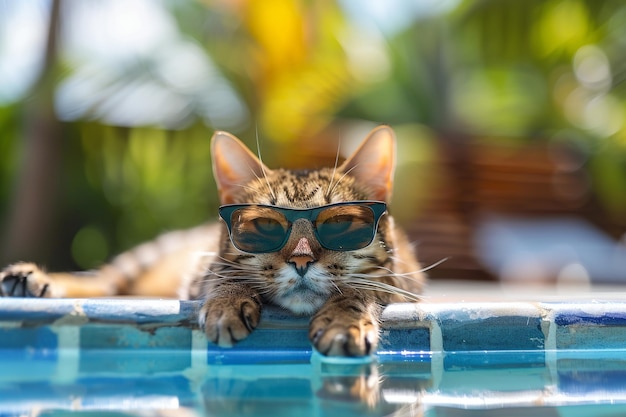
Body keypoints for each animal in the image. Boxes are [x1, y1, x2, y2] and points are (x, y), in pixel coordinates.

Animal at [1, 125, 424, 356]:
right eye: (264, 226)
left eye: (340, 223)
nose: (301, 260)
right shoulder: (201, 270)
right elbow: (223, 276)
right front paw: (228, 301)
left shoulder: (407, 281)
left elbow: (362, 287)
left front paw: (344, 319)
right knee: (104, 281)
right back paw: (33, 279)